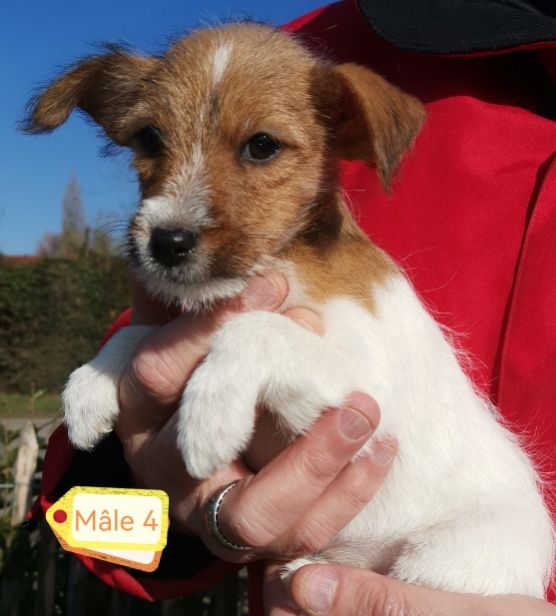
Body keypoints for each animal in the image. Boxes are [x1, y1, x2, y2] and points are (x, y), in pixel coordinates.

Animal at [27, 21, 556, 596]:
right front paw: (90, 386)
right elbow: (138, 333)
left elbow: (251, 328)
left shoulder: (368, 400)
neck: (287, 258)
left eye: (262, 146)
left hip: (447, 561)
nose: (166, 242)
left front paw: (208, 416)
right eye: (150, 138)